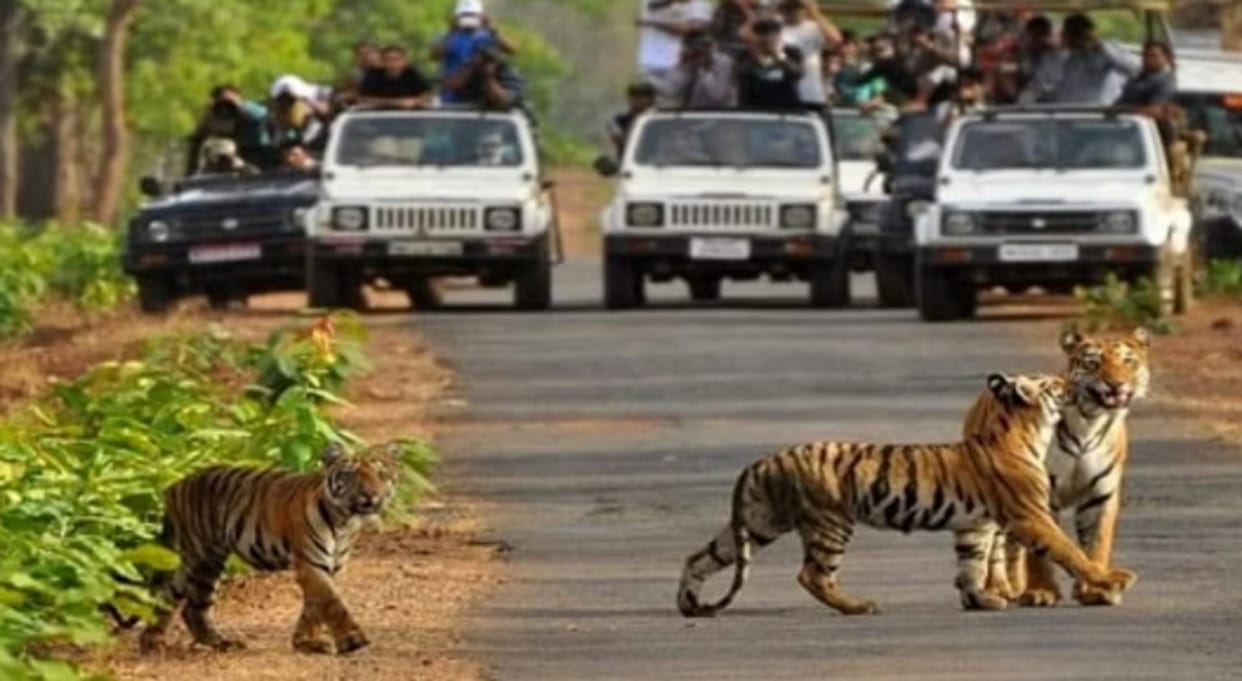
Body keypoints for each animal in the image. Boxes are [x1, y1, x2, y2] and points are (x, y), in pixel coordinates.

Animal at [137, 441, 401, 655]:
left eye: (381, 474)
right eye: (351, 474)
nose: (371, 495)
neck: (345, 521)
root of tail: (174, 485)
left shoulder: (333, 566)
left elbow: (314, 605)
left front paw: (306, 642)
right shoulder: (311, 564)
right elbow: (332, 602)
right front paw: (352, 640)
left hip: (193, 560)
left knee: (170, 597)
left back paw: (155, 642)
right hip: (204, 558)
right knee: (192, 606)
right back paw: (212, 643)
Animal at [676, 372, 1138, 617]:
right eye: (1054, 384)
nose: (1074, 381)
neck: (1025, 432)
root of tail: (763, 461)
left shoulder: (974, 526)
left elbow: (972, 565)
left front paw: (980, 600)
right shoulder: (1031, 516)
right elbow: (1070, 551)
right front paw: (1112, 579)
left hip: (758, 522)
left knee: (698, 557)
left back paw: (688, 604)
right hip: (830, 522)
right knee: (813, 575)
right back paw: (858, 606)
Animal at [969, 328, 1150, 608]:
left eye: (1128, 361)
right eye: (1093, 363)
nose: (1116, 384)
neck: (1089, 421)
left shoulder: (1100, 494)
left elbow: (1097, 542)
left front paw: (1096, 590)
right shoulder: (1038, 494)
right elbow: (1041, 551)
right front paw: (1041, 592)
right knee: (996, 544)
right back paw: (997, 589)